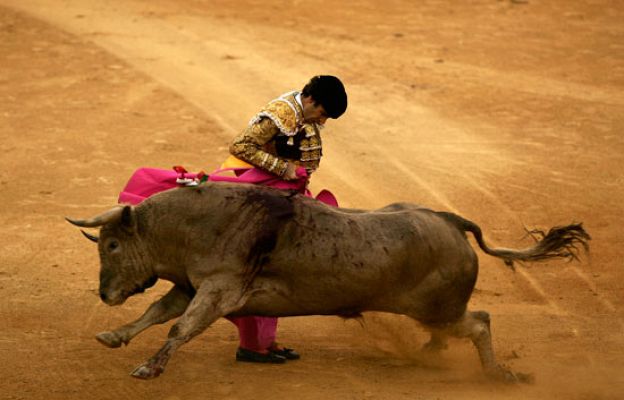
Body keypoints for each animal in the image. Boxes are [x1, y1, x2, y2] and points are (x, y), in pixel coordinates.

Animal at [66, 181, 588, 382]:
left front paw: (149, 368)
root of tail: (447, 219)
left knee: (478, 321)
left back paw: (496, 374)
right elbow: (157, 312)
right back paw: (431, 353)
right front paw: (114, 335)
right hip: (436, 310)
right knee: (462, 325)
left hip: (439, 308)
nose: (105, 294)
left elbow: (178, 327)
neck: (194, 223)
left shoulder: (217, 291)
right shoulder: (193, 287)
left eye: (111, 245)